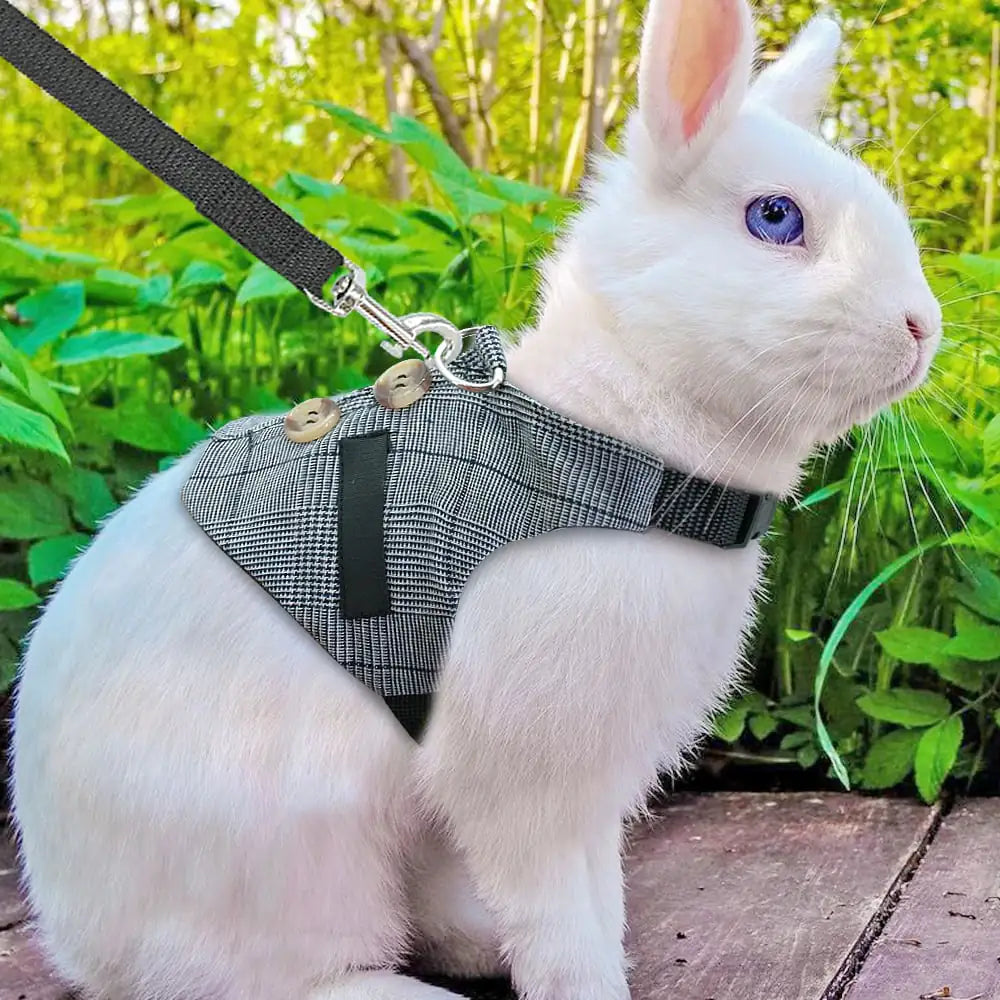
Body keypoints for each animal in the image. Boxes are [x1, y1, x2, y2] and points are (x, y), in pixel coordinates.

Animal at [11, 0, 943, 998]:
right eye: (775, 216)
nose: (923, 328)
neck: (616, 443)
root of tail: (76, 933)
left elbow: (598, 898)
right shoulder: (533, 788)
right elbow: (564, 920)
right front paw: (591, 987)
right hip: (295, 857)